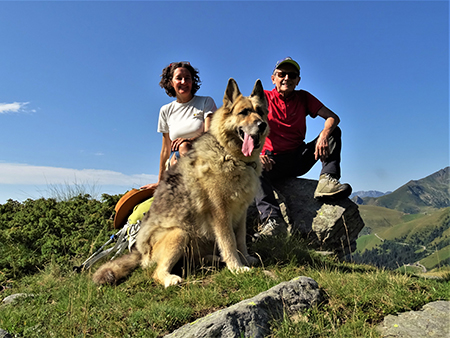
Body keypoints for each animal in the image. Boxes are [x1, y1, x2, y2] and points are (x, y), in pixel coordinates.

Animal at [92, 79, 268, 288]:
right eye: (244, 112)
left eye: (260, 111)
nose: (262, 125)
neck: (230, 155)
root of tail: (139, 251)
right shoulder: (221, 214)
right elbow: (229, 242)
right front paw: (236, 267)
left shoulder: (240, 214)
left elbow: (240, 240)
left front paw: (245, 259)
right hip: (179, 233)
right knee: (157, 272)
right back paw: (171, 279)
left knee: (194, 259)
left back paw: (214, 260)